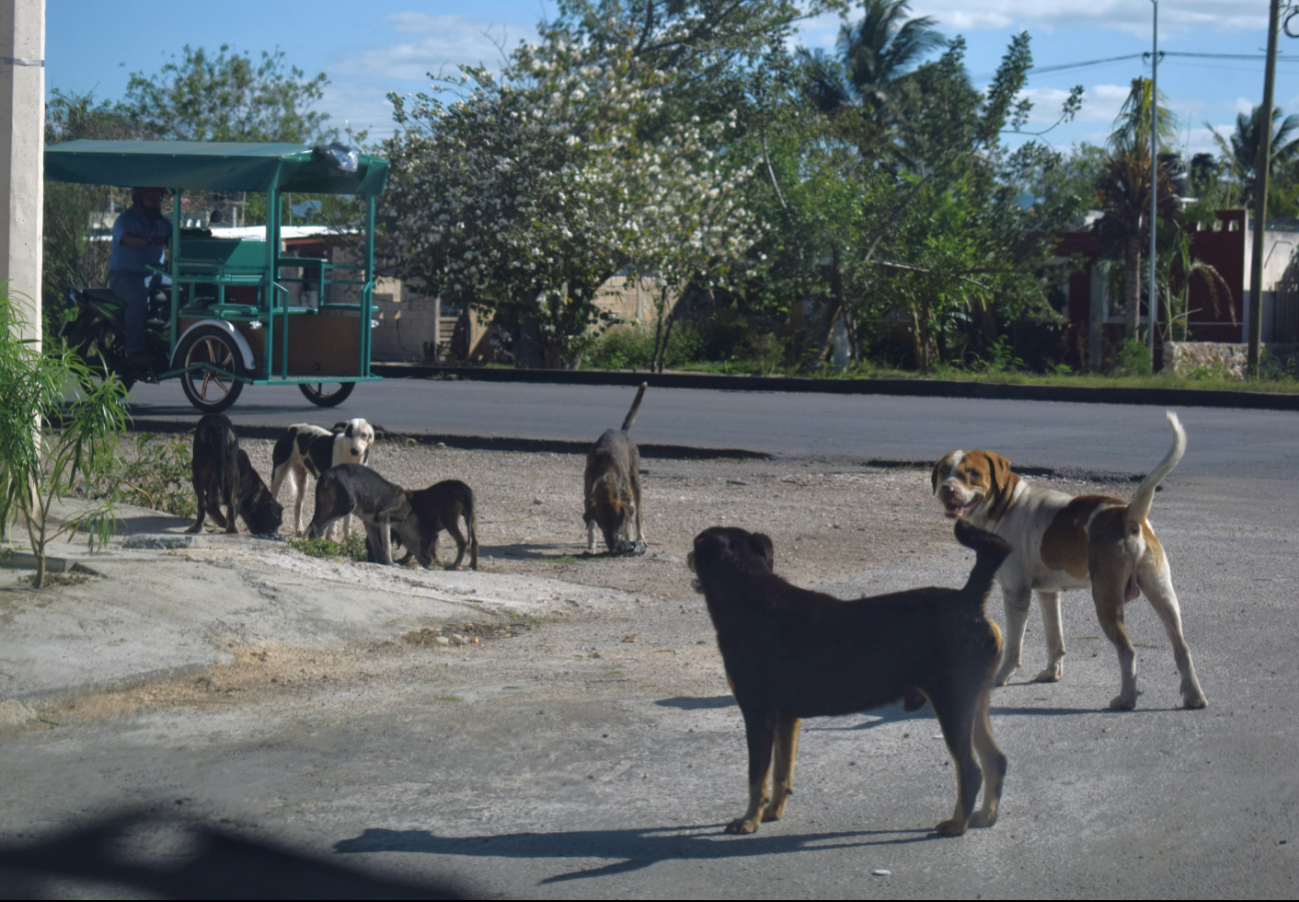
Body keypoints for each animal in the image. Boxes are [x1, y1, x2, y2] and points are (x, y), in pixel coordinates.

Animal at [587, 382, 646, 553]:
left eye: (617, 526)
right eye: (603, 527)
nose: (613, 547)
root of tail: (622, 431)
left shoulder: (626, 499)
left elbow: (628, 522)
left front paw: (627, 539)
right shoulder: (588, 497)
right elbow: (590, 526)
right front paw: (591, 546)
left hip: (635, 481)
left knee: (638, 515)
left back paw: (639, 537)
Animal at [685, 522, 1008, 842]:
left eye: (696, 544)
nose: (686, 556)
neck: (747, 597)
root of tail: (969, 600)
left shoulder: (757, 714)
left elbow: (756, 778)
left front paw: (749, 820)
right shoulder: (786, 718)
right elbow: (780, 772)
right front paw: (772, 813)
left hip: (951, 702)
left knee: (970, 770)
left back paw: (956, 825)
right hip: (974, 700)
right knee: (995, 760)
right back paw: (985, 816)